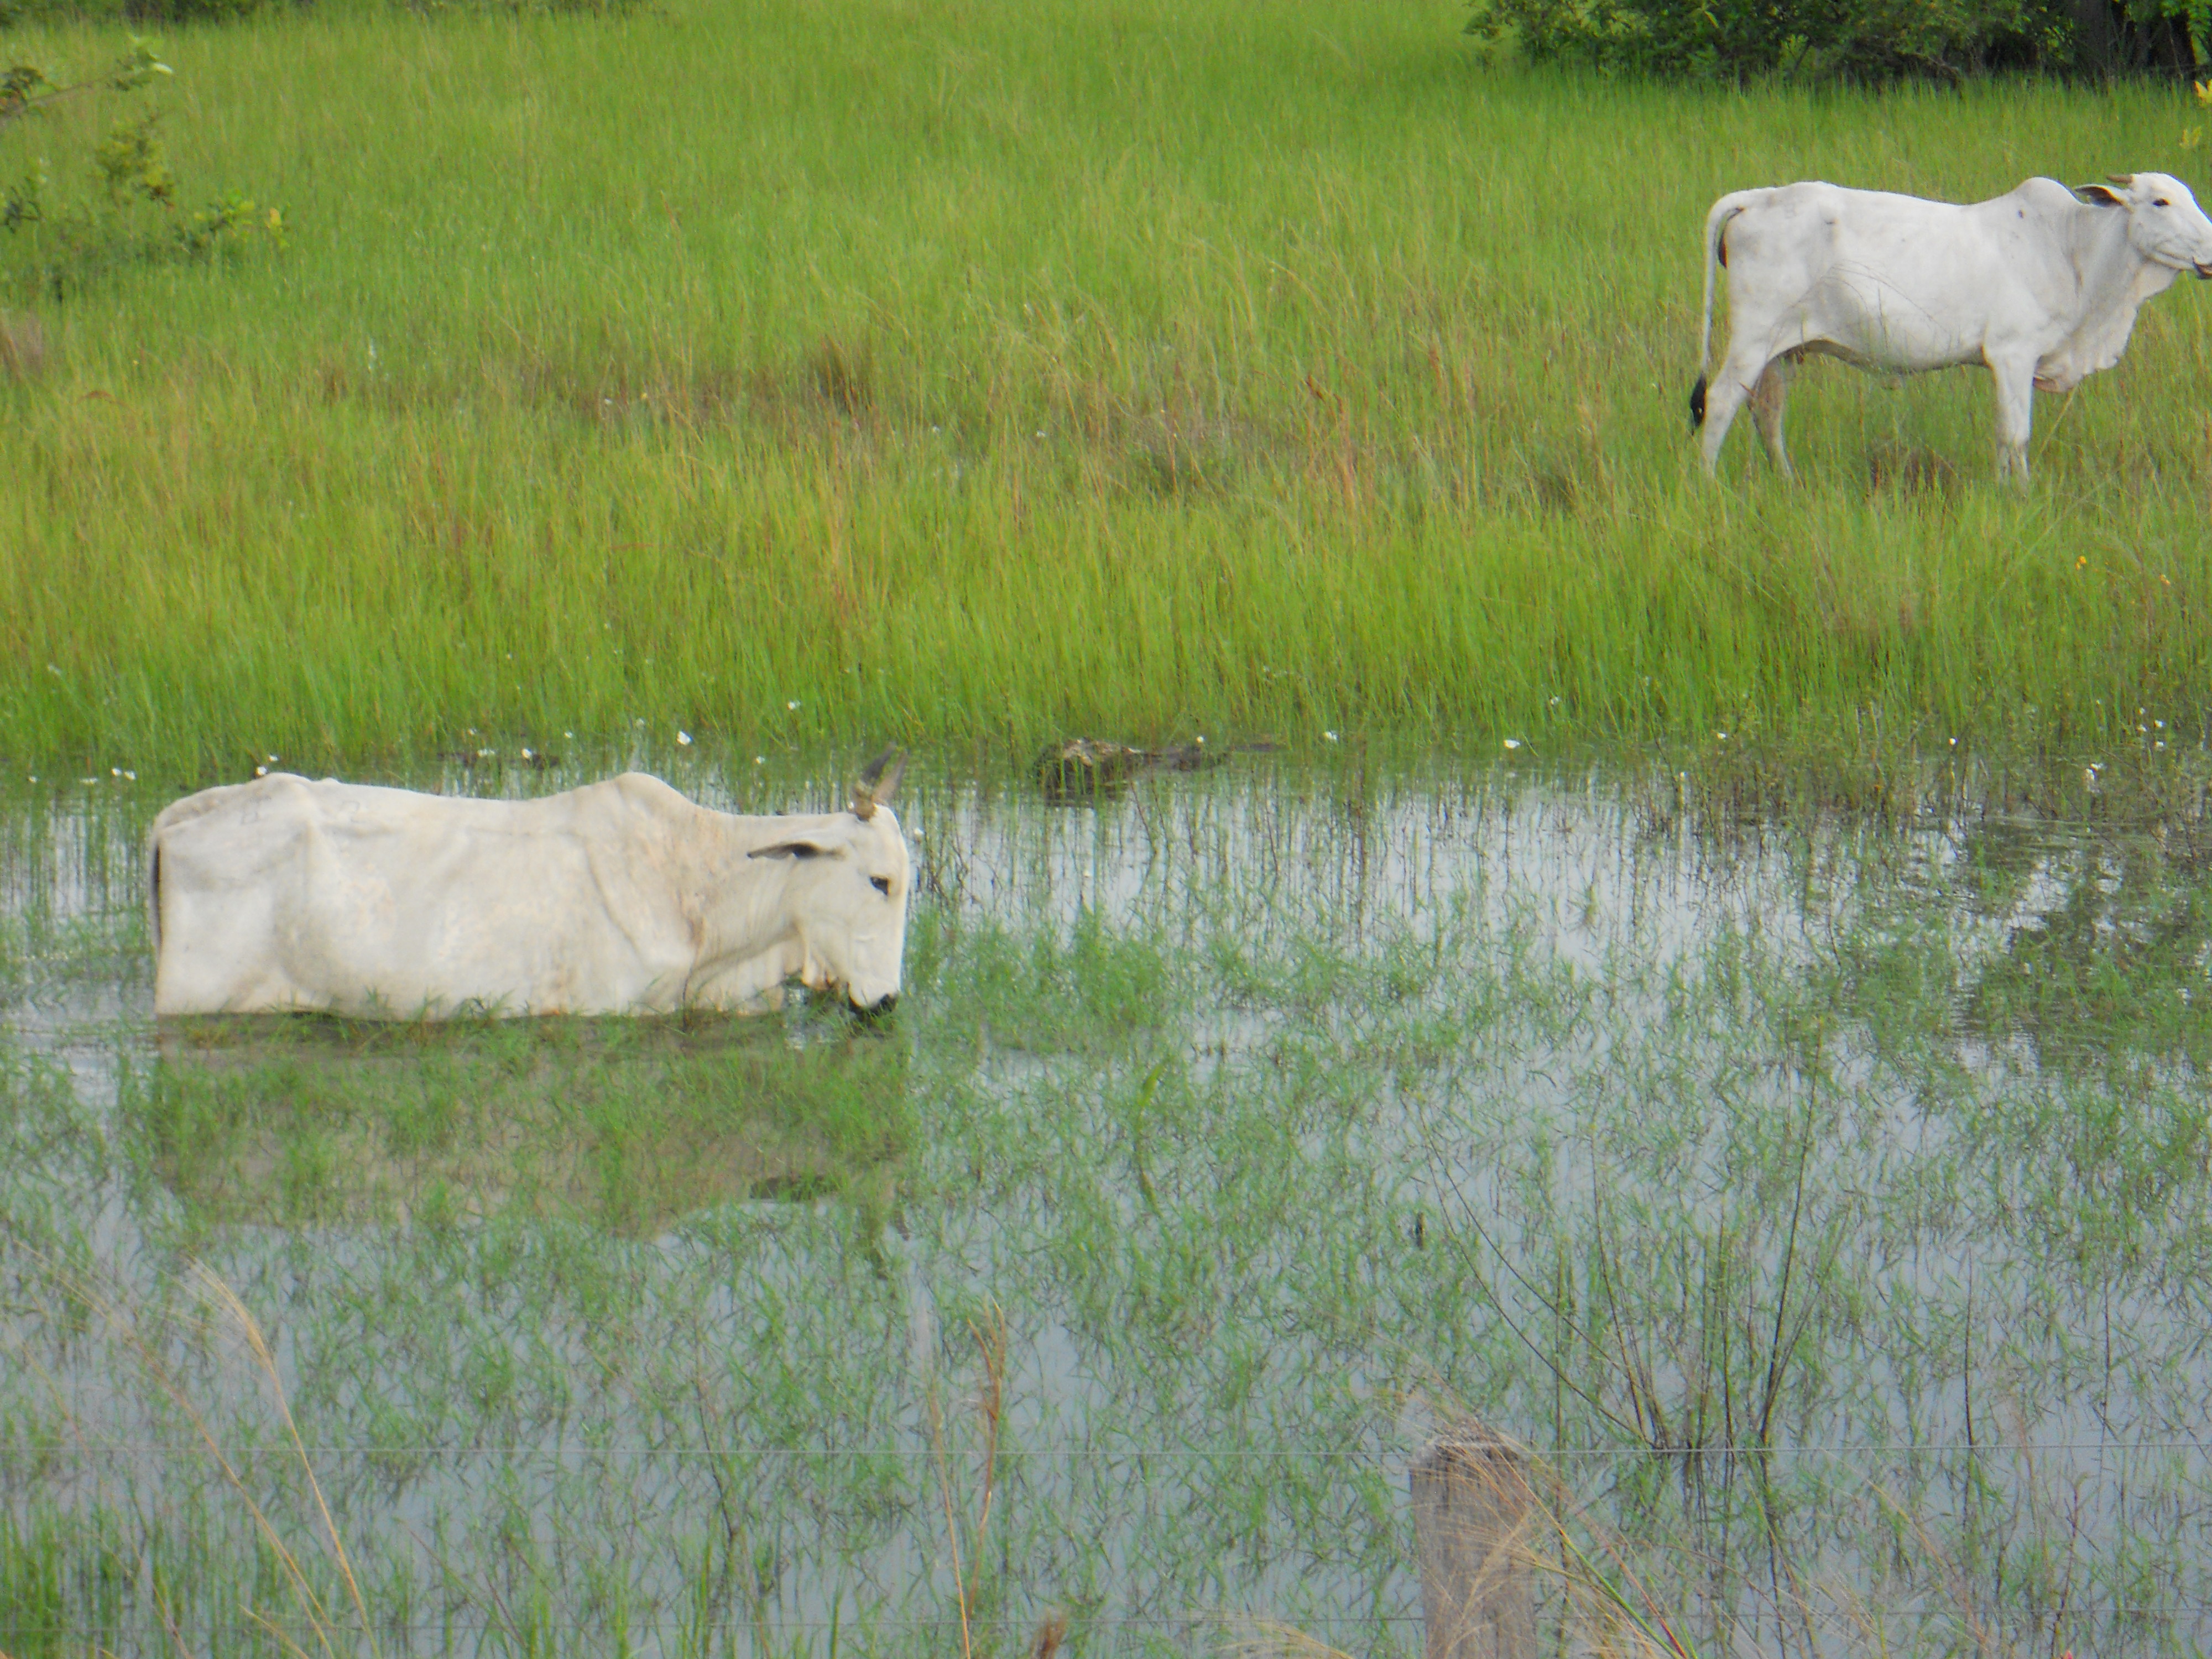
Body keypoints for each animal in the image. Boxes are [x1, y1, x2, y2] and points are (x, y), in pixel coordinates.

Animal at [1690, 172, 2212, 482]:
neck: (2073, 250)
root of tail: (1758, 199)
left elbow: (2003, 434)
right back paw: (1708, 487)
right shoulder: (2013, 354)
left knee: (1767, 414)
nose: (2209, 251)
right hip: (1753, 339)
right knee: (1719, 404)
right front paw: (2021, 498)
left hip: (1785, 350)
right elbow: (2016, 435)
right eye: (2161, 202)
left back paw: (1788, 484)